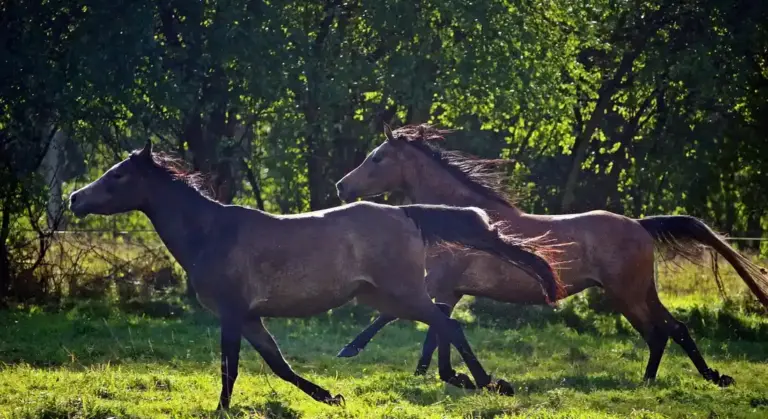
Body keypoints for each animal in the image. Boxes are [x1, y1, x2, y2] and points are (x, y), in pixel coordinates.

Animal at [68, 139, 564, 409]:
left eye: (116, 176)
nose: (74, 198)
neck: (210, 232)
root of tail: (404, 212)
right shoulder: (249, 317)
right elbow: (278, 364)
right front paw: (329, 396)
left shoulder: (230, 312)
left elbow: (231, 366)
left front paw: (222, 408)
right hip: (384, 298)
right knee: (442, 323)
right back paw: (460, 378)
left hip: (404, 294)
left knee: (450, 324)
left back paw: (489, 383)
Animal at [334, 124, 768, 388]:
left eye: (377, 158)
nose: (341, 186)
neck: (463, 220)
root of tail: (640, 225)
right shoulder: (449, 290)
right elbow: (436, 332)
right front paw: (439, 375)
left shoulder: (438, 283)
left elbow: (398, 316)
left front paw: (351, 349)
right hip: (642, 291)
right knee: (676, 327)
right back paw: (711, 376)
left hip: (625, 295)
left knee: (657, 332)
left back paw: (649, 381)